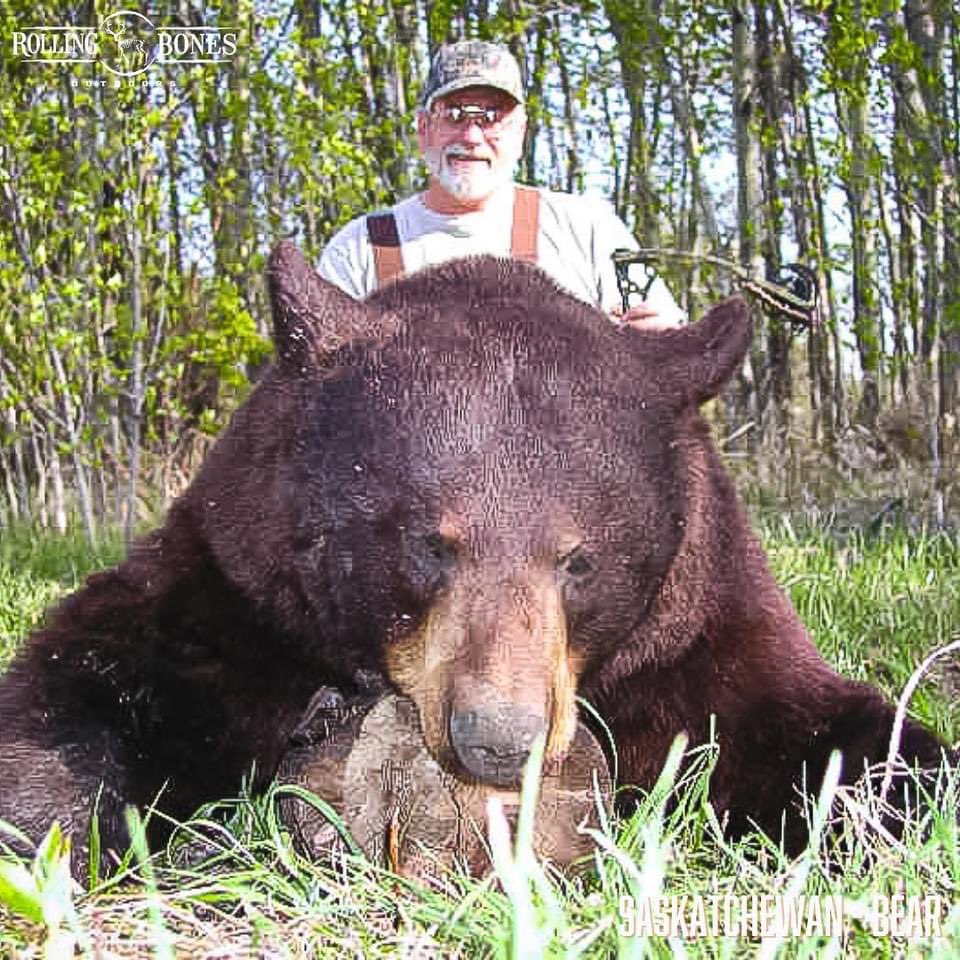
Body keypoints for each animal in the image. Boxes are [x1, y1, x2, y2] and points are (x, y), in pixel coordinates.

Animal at [0, 241, 948, 876]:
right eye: (431, 542)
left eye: (579, 560)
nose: (499, 739)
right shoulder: (241, 592)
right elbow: (87, 686)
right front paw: (49, 834)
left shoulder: (692, 631)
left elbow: (819, 730)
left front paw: (902, 806)